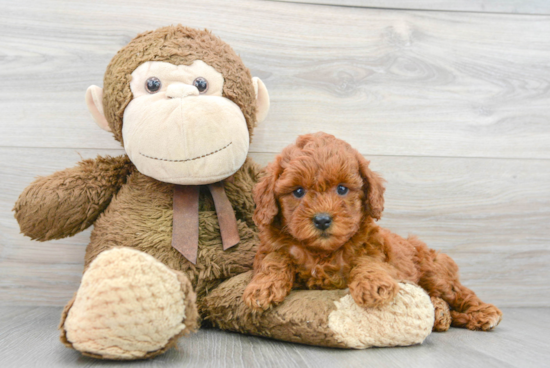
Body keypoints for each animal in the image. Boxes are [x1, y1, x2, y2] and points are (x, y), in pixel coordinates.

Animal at [244, 132, 502, 330]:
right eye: (298, 191)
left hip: (434, 272)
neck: (322, 252)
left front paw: (373, 285)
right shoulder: (272, 249)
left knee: (459, 292)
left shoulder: (379, 254)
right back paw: (440, 315)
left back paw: (483, 313)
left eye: (342, 189)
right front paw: (262, 287)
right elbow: (275, 259)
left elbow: (368, 261)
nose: (322, 220)